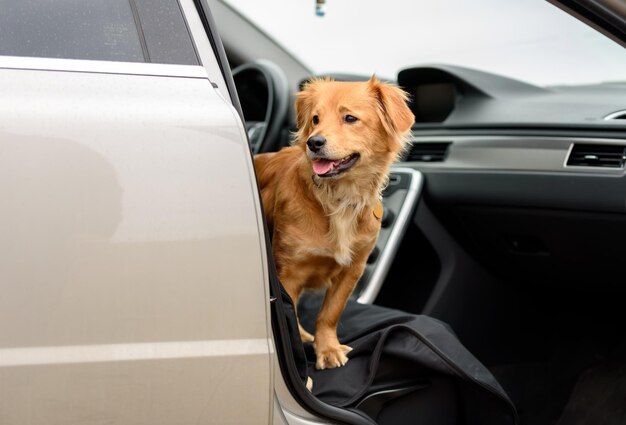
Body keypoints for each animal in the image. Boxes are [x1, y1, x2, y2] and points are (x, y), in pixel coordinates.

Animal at [251, 76, 412, 368]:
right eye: (315, 119)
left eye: (350, 118)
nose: (313, 142)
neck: (339, 198)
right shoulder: (288, 273)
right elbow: (289, 317)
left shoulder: (353, 269)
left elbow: (329, 313)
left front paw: (326, 347)